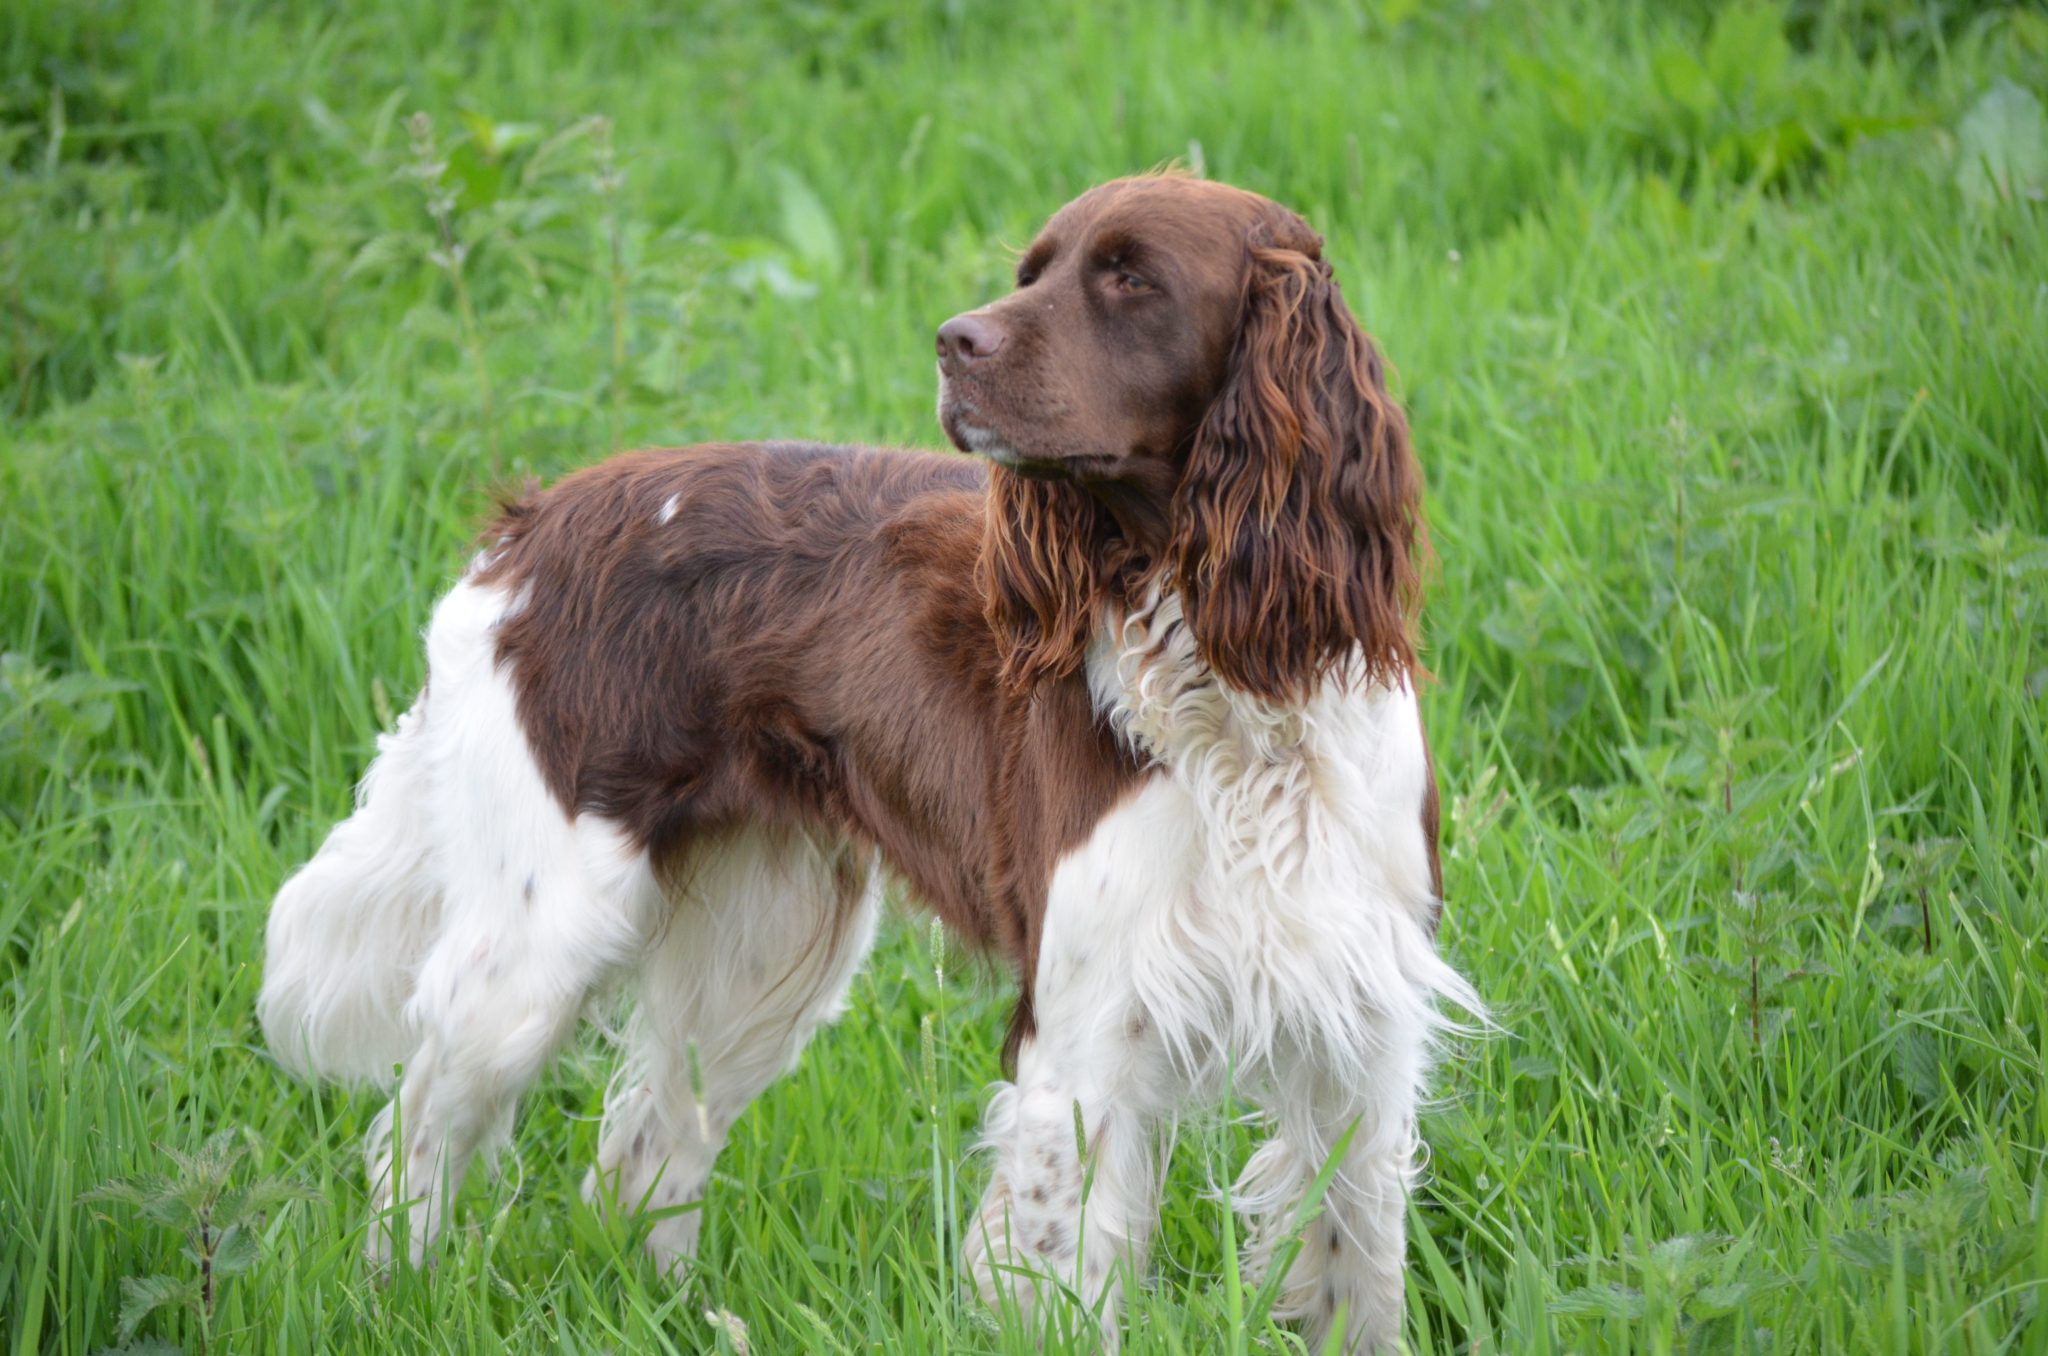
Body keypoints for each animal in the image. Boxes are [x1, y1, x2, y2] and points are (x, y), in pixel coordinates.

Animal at [264, 175, 1482, 1351]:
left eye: (1131, 277)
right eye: (1031, 271)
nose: (951, 340)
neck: (1233, 697)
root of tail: (524, 530)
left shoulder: (1361, 1040)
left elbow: (1358, 1274)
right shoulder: (1083, 1041)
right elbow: (1066, 1278)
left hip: (760, 947)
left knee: (643, 1147)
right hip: (534, 948)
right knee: (416, 1127)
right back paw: (394, 1302)